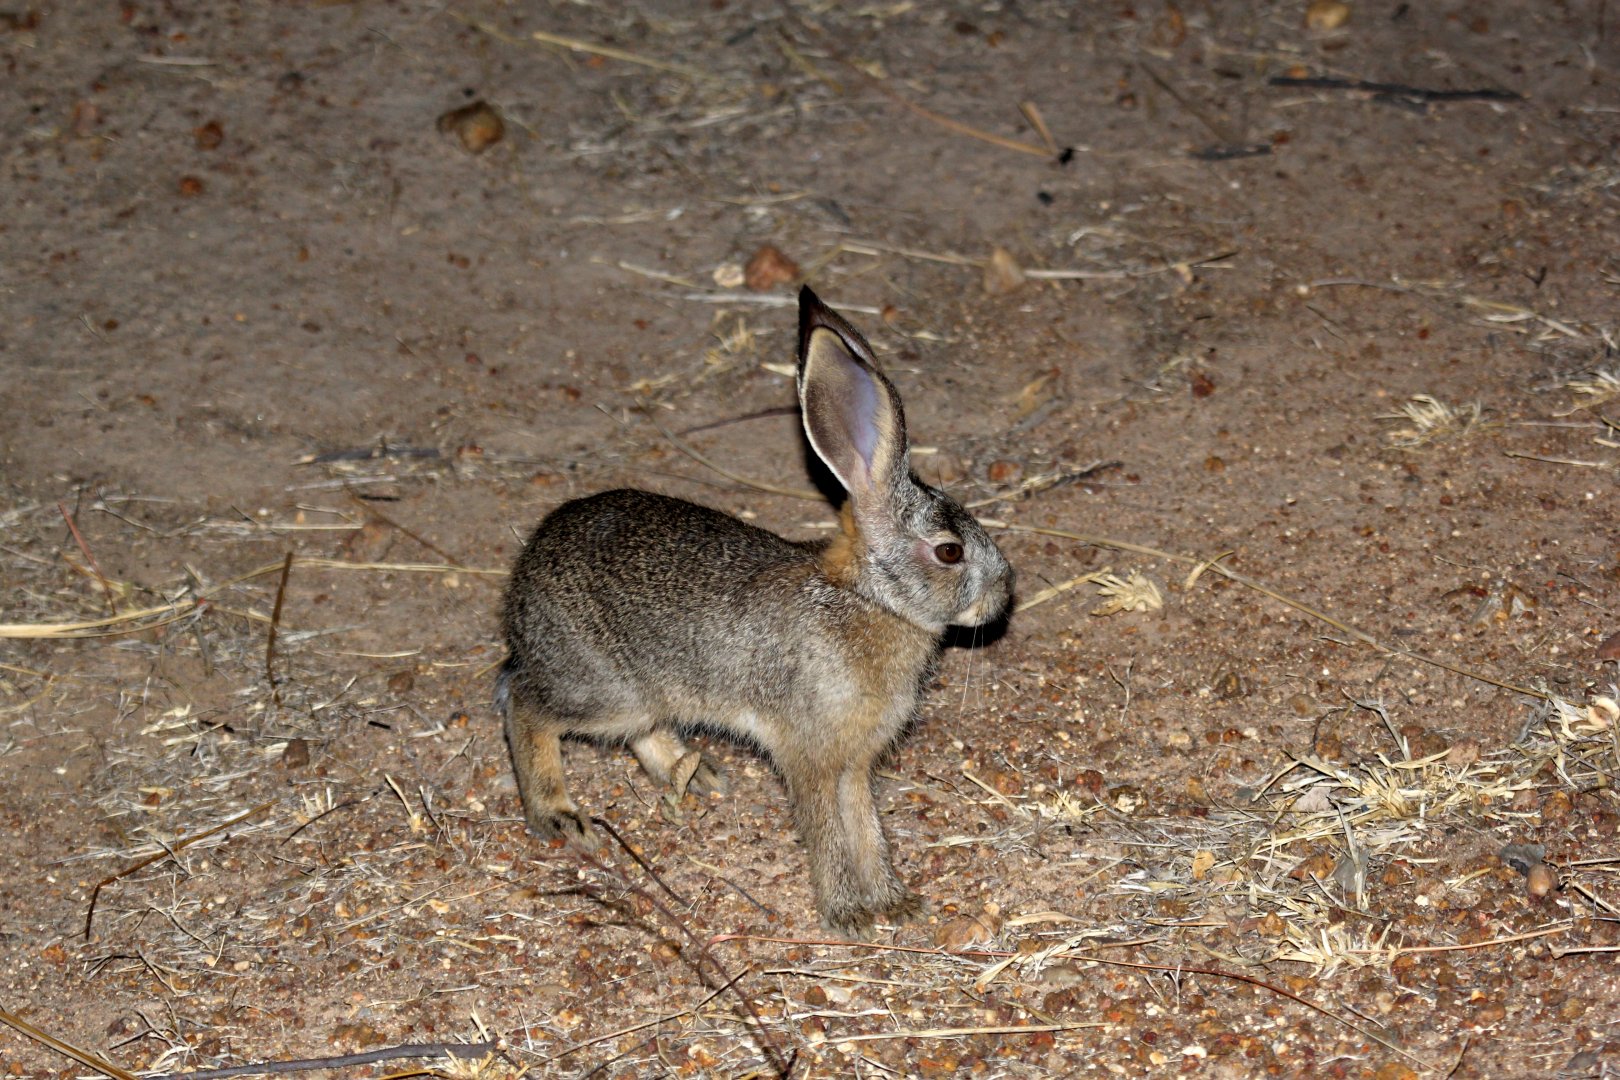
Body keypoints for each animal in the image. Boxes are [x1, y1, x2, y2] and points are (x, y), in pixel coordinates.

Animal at [496, 285, 1014, 934]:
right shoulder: (808, 753)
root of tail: (521, 587)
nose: (1004, 594)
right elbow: (827, 828)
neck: (868, 599)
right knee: (525, 705)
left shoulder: (854, 762)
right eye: (949, 552)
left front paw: (893, 900)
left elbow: (864, 824)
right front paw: (848, 912)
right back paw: (559, 814)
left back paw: (695, 773)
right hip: (604, 690)